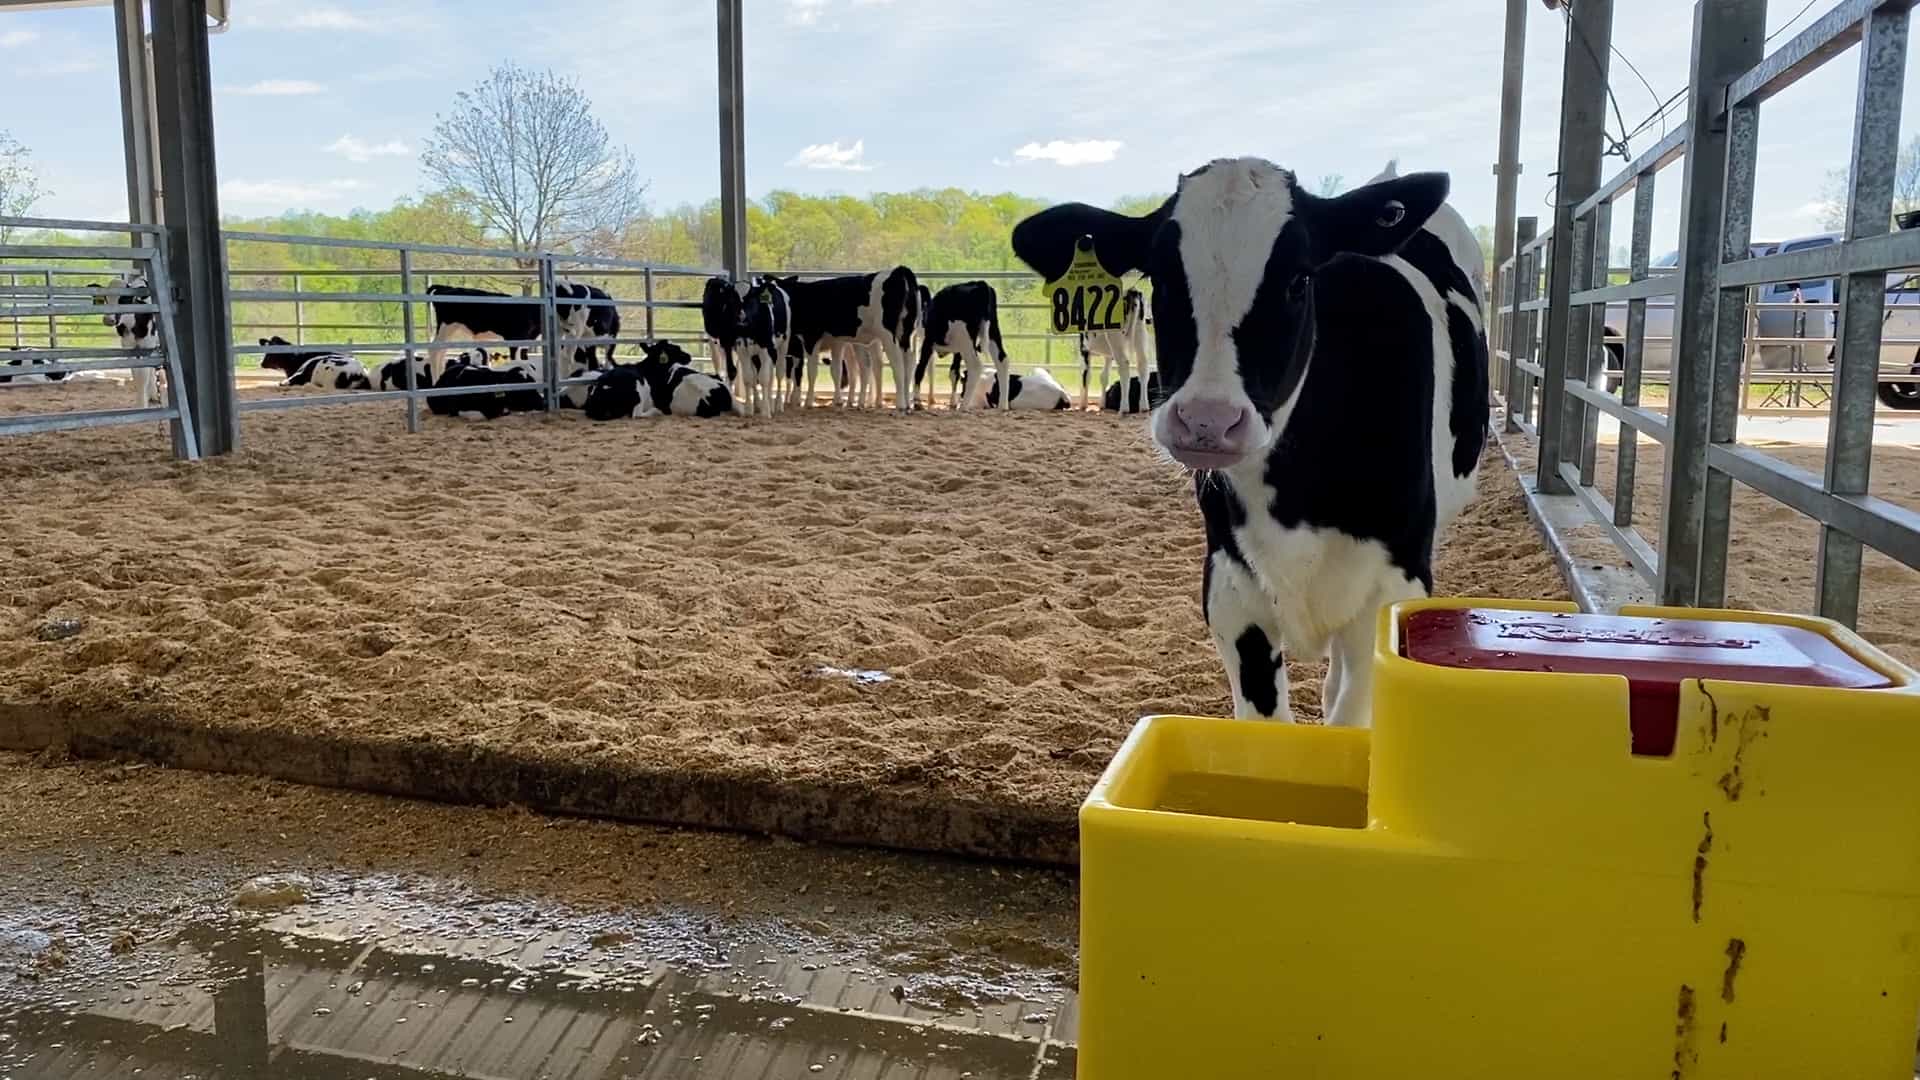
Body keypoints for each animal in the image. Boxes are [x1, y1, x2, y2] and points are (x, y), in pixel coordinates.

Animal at [89, 274, 159, 408]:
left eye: (124, 298)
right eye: (105, 299)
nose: (108, 319)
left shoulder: (146, 347)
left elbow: (143, 375)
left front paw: (142, 405)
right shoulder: (128, 348)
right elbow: (136, 374)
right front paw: (142, 401)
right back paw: (152, 394)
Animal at [772, 267, 919, 414]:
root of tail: (898, 271)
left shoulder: (810, 338)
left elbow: (811, 371)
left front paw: (807, 402)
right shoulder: (836, 341)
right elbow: (835, 370)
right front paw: (837, 402)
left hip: (888, 335)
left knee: (897, 364)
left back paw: (899, 406)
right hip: (906, 335)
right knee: (907, 364)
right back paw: (905, 404)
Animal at [915, 281, 1009, 411]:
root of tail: (979, 284)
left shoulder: (927, 342)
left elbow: (920, 369)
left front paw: (917, 402)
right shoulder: (957, 351)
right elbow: (953, 372)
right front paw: (952, 402)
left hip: (965, 338)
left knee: (975, 366)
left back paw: (964, 406)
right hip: (992, 332)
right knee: (1002, 360)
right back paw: (1003, 405)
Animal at [1010, 157, 1487, 730]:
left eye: (1299, 279)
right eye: (1161, 278)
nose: (1207, 420)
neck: (1296, 500)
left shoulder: (1393, 589)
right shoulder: (1230, 589)